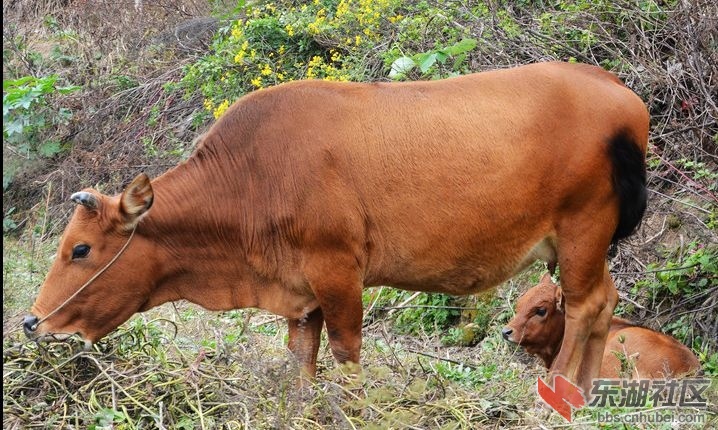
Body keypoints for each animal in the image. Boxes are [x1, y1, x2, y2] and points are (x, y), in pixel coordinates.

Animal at [23, 62, 652, 392]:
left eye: (80, 249)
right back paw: (588, 394)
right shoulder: (301, 293)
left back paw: (557, 392)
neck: (252, 176)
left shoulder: (338, 273)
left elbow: (347, 355)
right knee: (606, 301)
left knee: (585, 307)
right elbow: (301, 358)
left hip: (582, 230)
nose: (32, 323)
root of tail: (616, 89)